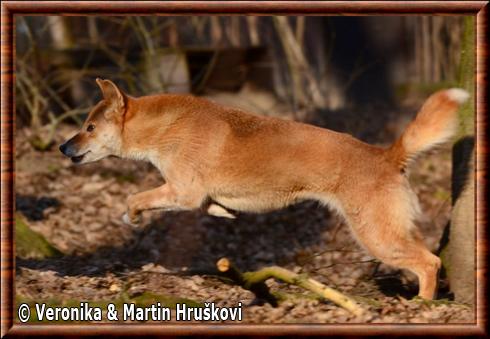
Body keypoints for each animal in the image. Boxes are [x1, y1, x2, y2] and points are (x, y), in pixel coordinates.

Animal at [59, 77, 468, 300]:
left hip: (375, 235)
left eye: (89, 128)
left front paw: (132, 217)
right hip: (392, 230)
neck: (165, 127)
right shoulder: (193, 196)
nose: (63, 147)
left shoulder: (181, 191)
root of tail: (386, 155)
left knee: (428, 263)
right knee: (427, 256)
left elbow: (136, 197)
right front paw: (224, 211)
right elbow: (211, 207)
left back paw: (423, 305)